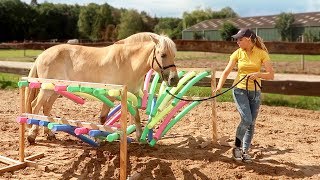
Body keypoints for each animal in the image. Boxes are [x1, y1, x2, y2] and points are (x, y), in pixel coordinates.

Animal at [26, 32, 179, 144]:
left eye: (174, 55)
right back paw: (32, 135)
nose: (174, 79)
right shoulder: (109, 95)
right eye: (163, 54)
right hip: (47, 89)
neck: (128, 63)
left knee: (46, 108)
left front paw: (140, 138)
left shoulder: (133, 95)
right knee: (35, 106)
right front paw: (99, 138)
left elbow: (136, 116)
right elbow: (103, 118)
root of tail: (42, 55)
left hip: (55, 90)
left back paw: (49, 134)